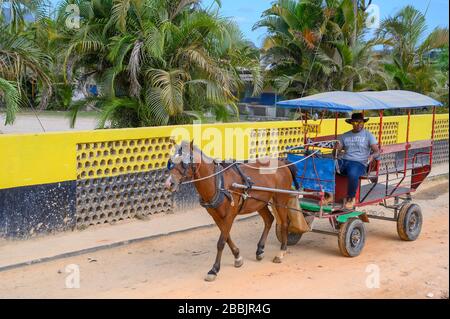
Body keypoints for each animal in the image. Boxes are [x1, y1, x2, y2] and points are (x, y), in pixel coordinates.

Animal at [164, 141, 298, 282]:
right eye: (170, 161)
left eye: (184, 162)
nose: (168, 184)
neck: (218, 182)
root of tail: (283, 163)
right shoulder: (215, 215)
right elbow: (226, 237)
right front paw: (238, 257)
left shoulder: (230, 215)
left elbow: (221, 242)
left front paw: (214, 269)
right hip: (259, 202)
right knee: (269, 219)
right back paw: (260, 250)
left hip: (281, 200)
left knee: (284, 223)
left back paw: (281, 252)